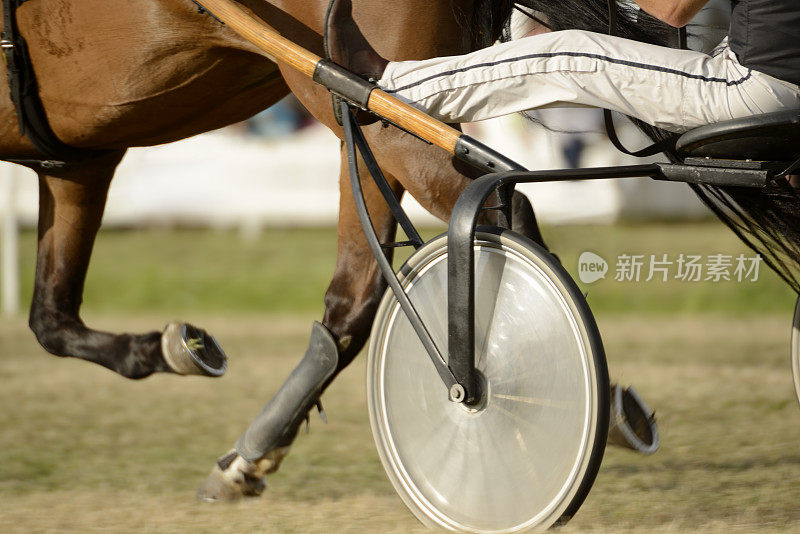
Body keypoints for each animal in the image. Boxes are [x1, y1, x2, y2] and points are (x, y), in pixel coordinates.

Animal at [0, 0, 548, 502]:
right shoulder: (78, 166)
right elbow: (51, 319)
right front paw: (167, 348)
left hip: (369, 109)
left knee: (501, 208)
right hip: (361, 130)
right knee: (353, 300)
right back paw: (249, 456)